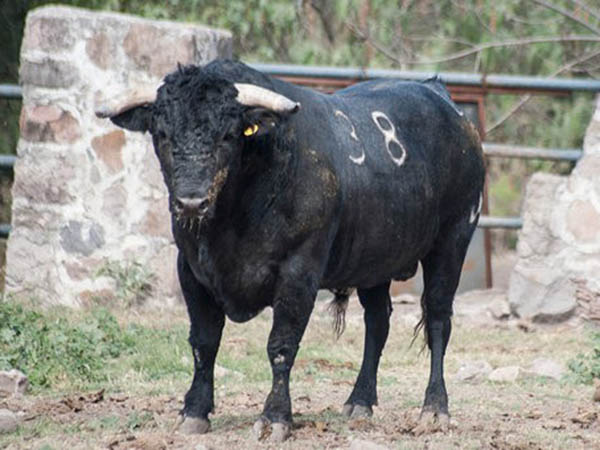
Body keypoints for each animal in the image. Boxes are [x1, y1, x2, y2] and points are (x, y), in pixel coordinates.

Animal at [96, 59, 486, 440]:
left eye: (228, 135)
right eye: (162, 134)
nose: (191, 201)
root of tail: (441, 97)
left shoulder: (299, 271)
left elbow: (281, 345)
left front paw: (275, 418)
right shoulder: (191, 270)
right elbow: (204, 341)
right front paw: (194, 411)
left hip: (452, 241)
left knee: (438, 319)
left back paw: (434, 409)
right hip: (375, 260)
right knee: (378, 321)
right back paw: (360, 401)